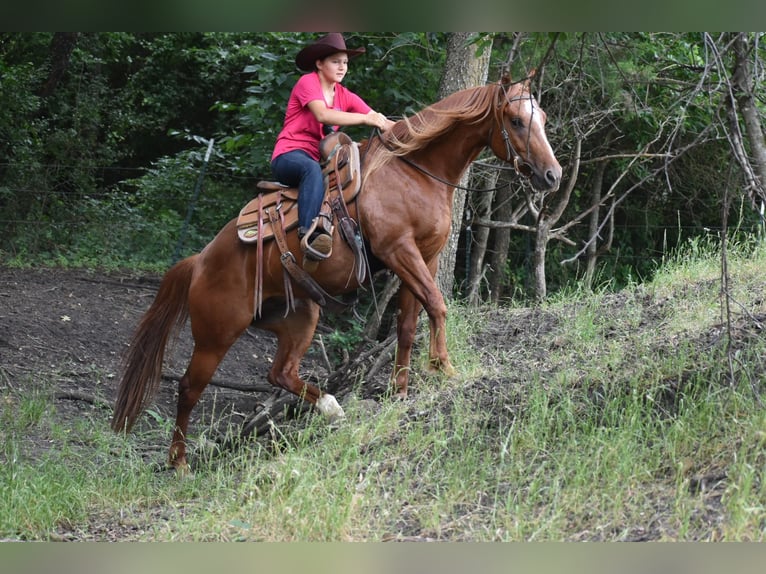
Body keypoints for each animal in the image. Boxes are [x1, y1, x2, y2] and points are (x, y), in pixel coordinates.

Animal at [111, 75, 562, 471]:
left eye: (542, 118)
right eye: (516, 120)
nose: (553, 175)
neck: (413, 171)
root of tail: (200, 260)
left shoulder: (426, 258)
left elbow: (408, 324)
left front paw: (401, 390)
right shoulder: (400, 251)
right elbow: (437, 304)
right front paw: (443, 368)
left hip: (298, 316)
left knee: (281, 372)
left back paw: (331, 407)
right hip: (217, 333)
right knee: (189, 387)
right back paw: (179, 462)